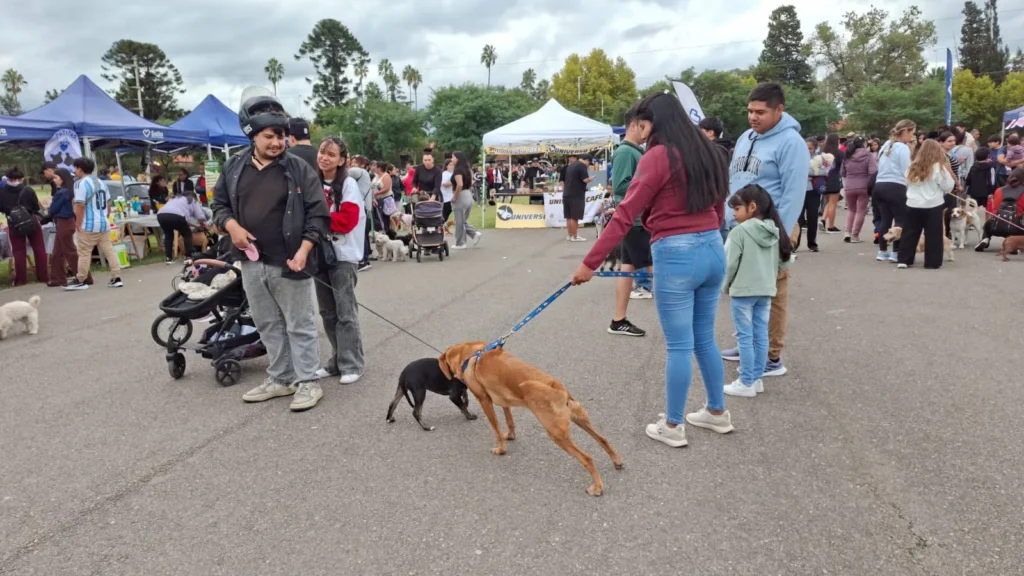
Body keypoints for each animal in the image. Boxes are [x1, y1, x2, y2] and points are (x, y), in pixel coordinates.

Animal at [438, 341, 624, 496]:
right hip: (579, 420)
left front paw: (501, 449)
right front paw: (510, 435)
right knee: (603, 439)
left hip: (557, 434)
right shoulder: (504, 400)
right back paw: (617, 461)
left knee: (587, 458)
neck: (470, 354)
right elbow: (509, 421)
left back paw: (597, 487)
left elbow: (496, 429)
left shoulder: (484, 400)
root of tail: (557, 387)